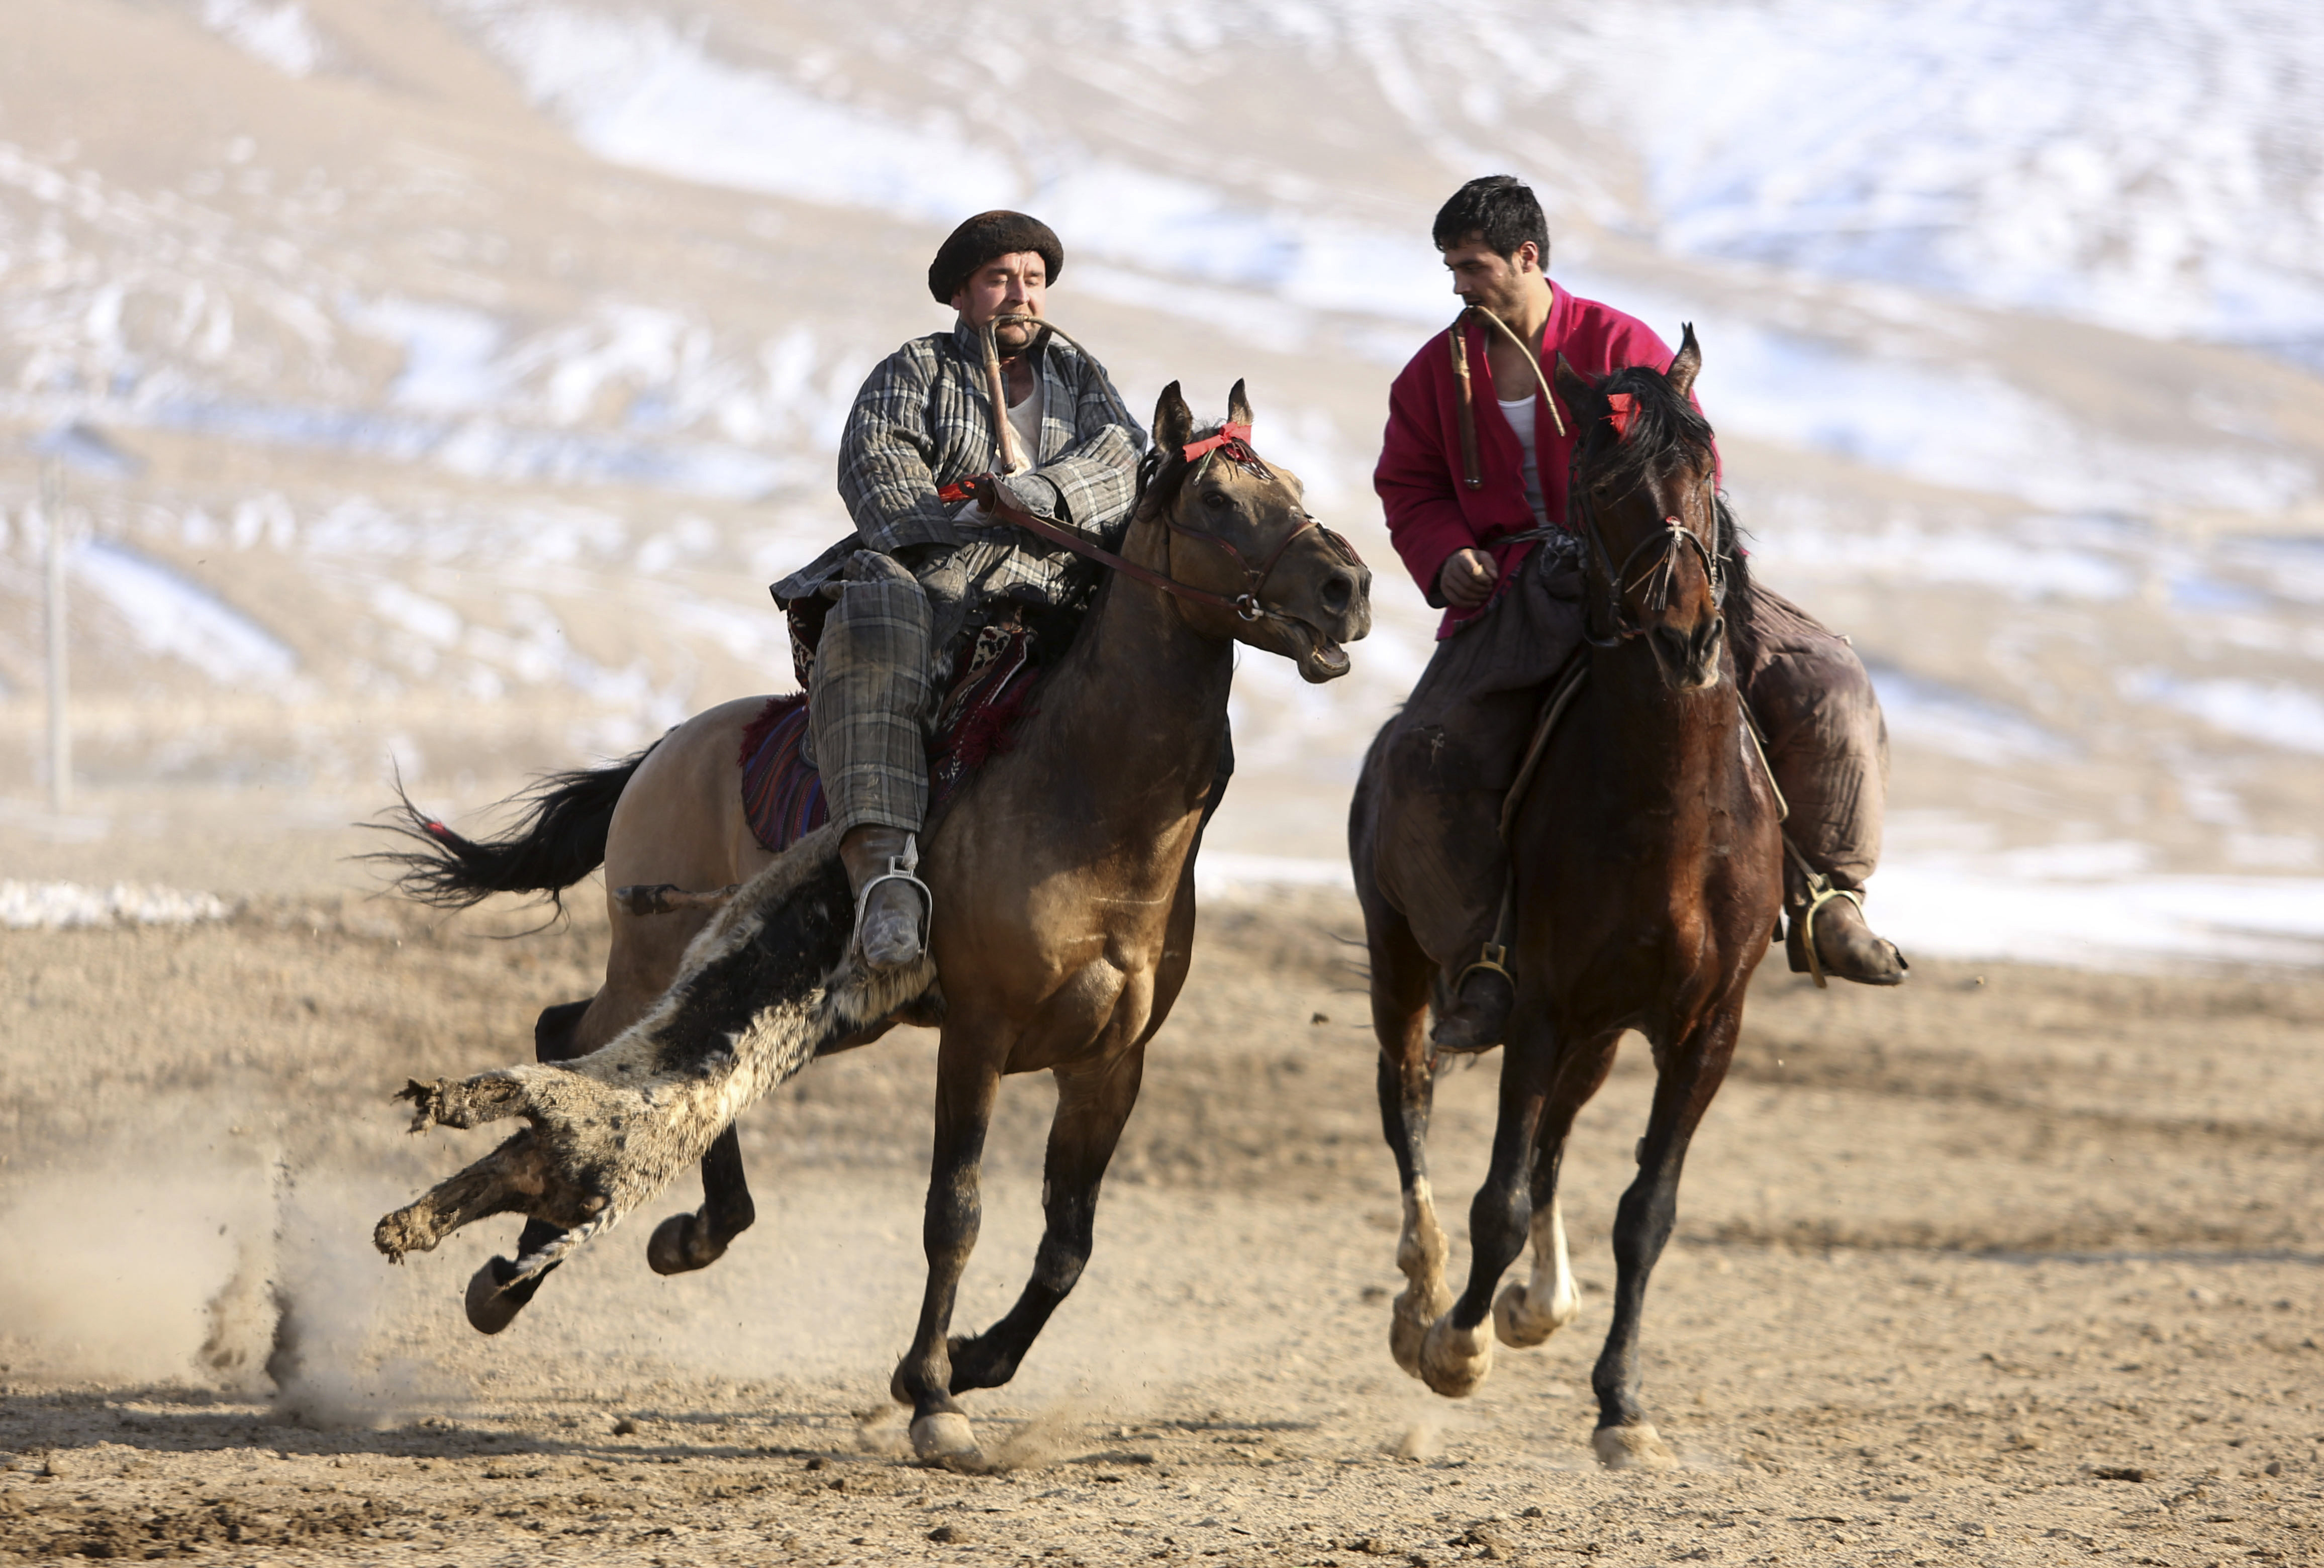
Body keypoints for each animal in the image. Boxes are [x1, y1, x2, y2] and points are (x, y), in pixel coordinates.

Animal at [371, 383, 1366, 1468]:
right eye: (1220, 501)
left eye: (1292, 484)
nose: (1348, 586)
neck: (1091, 798)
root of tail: (667, 749)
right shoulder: (976, 1037)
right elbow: (954, 1215)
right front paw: (932, 1396)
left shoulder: (1111, 1060)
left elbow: (1068, 1242)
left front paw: (971, 1362)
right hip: (659, 966)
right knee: (574, 1044)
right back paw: (533, 1267)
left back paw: (641, 1243)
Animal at [1347, 327, 1775, 1468]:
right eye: (1601, 484)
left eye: (1703, 465)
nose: (1686, 637)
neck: (1667, 818)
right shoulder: (1534, 1004)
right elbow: (1493, 1199)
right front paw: (1452, 1349)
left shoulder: (1702, 1029)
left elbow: (1645, 1211)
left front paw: (1620, 1405)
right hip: (1405, 959)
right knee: (1407, 1097)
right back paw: (1423, 1298)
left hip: (1601, 1031)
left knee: (1555, 1143)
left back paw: (1537, 1302)